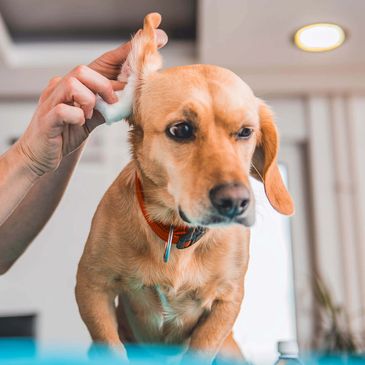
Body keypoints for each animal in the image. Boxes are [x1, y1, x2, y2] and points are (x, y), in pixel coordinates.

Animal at [75, 12, 294, 362]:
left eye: (246, 132)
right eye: (181, 130)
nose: (235, 202)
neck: (175, 233)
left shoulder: (227, 301)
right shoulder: (92, 286)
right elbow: (111, 344)